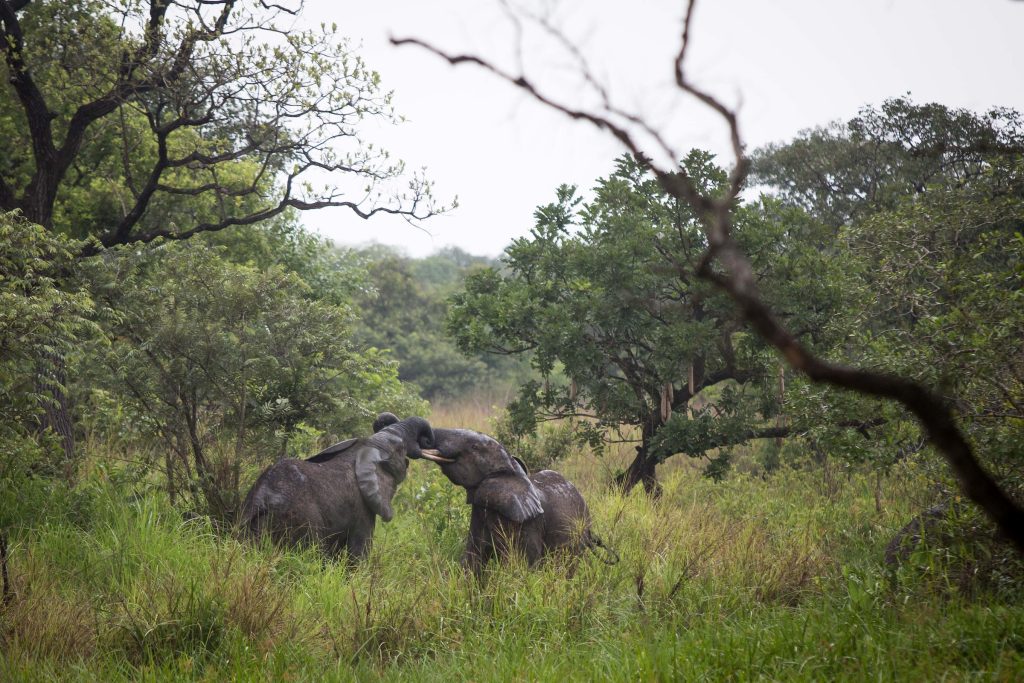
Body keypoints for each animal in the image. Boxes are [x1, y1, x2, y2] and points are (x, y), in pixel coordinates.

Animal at [240, 414, 438, 562]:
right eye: (400, 448)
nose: (427, 442)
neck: (367, 446)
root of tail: (260, 501)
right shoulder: (362, 510)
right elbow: (359, 553)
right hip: (299, 522)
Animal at [420, 427, 617, 575]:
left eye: (474, 446)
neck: (511, 470)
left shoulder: (529, 524)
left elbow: (520, 566)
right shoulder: (479, 513)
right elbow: (472, 560)